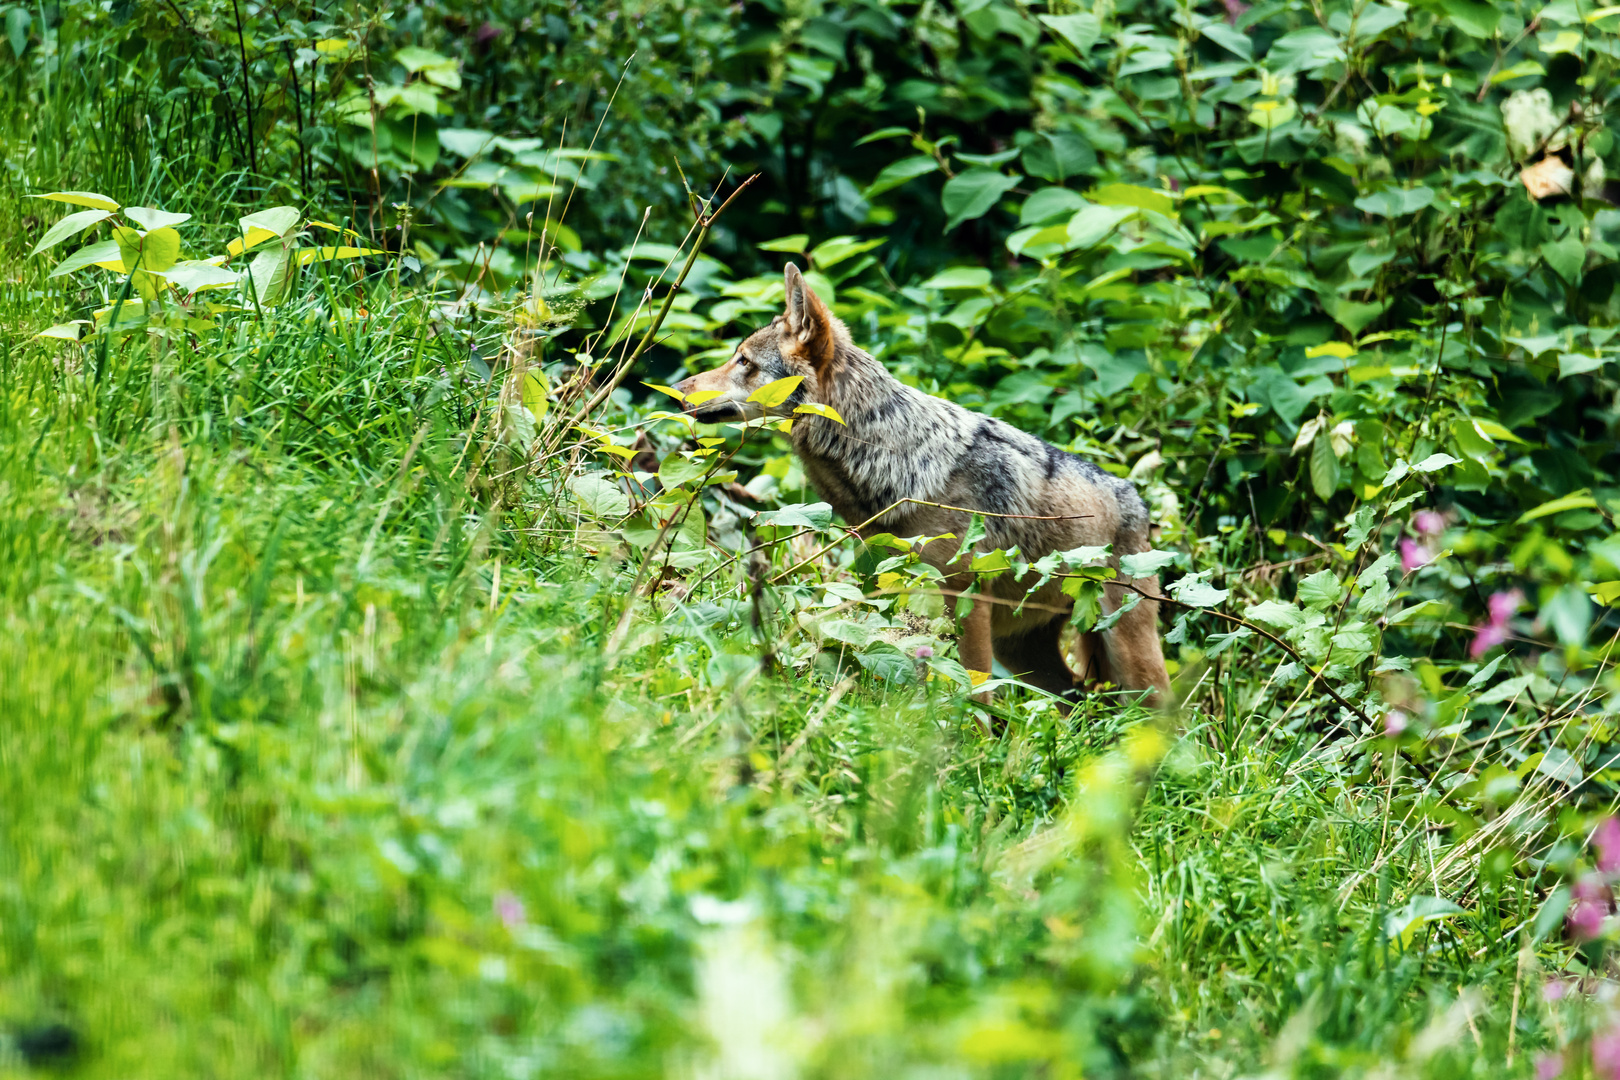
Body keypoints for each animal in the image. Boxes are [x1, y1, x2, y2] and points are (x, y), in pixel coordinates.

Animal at [677, 265, 1172, 705]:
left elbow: (973, 694)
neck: (895, 460)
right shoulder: (890, 589)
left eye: (743, 361)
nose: (677, 389)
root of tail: (1137, 499)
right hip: (1030, 653)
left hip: (1126, 652)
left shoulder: (964, 600)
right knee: (1081, 705)